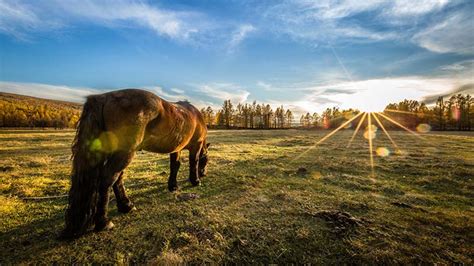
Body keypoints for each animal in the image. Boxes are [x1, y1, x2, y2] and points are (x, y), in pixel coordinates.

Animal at [61, 88, 209, 238]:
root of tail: (104, 97)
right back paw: (103, 222)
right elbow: (194, 162)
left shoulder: (176, 148)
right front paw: (195, 180)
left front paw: (173, 186)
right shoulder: (196, 146)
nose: (204, 174)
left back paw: (126, 206)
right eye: (206, 161)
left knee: (117, 178)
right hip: (125, 153)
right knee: (108, 179)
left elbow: (175, 166)